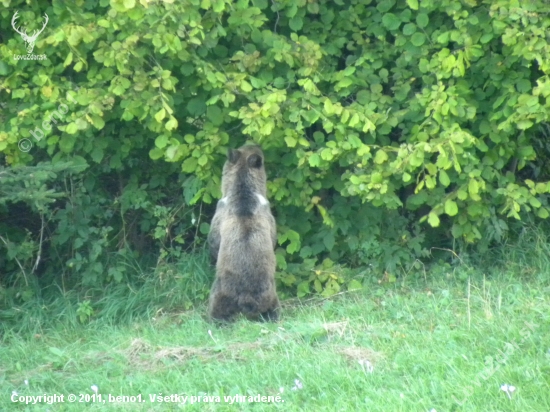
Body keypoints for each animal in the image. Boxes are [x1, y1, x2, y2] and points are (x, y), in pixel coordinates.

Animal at [209, 145, 282, 322]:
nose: (256, 144)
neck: (243, 191)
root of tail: (246, 299)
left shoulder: (219, 214)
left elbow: (214, 242)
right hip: (270, 293)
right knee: (274, 309)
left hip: (222, 290)